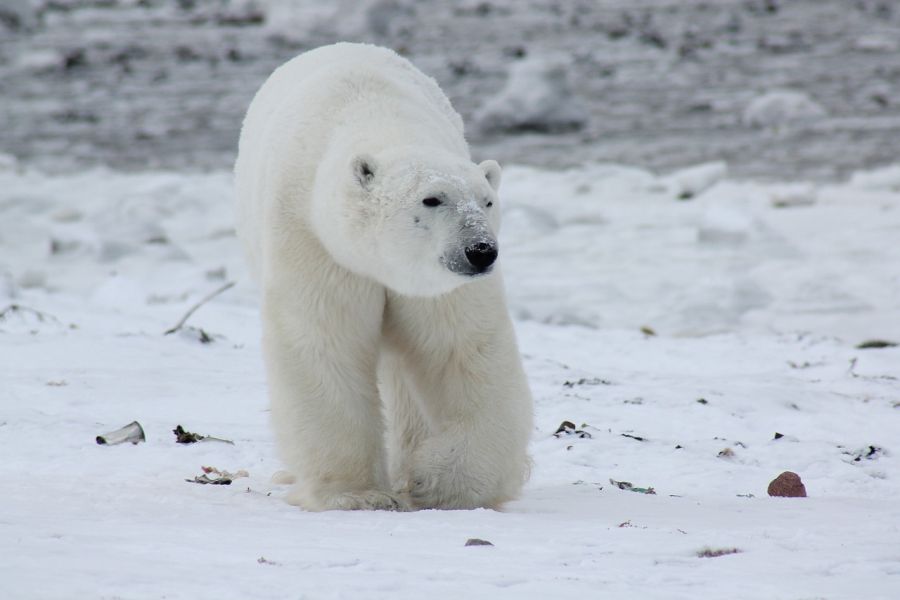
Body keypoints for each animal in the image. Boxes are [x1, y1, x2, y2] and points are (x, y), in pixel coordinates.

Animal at [234, 43, 536, 510]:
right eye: (432, 199)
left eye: (487, 201)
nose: (481, 251)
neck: (376, 115)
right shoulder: (314, 241)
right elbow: (324, 343)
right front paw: (357, 494)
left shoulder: (434, 284)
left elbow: (461, 350)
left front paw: (442, 482)